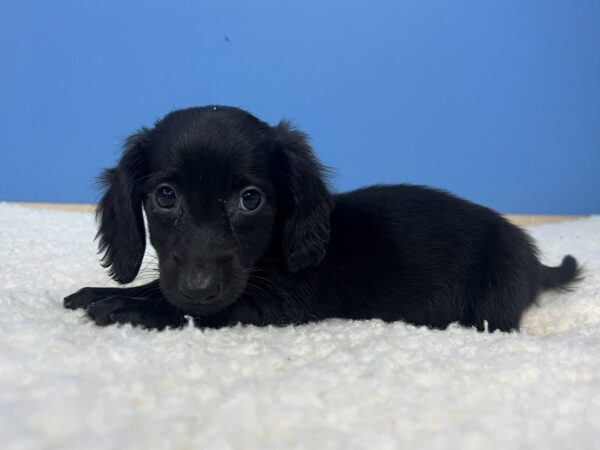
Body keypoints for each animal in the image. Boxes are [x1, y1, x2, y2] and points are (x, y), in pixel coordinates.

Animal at [63, 105, 580, 330]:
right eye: (165, 197)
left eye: (251, 200)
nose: (199, 287)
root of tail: (534, 263)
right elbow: (160, 283)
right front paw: (102, 292)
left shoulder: (273, 305)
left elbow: (202, 309)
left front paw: (132, 308)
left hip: (490, 306)